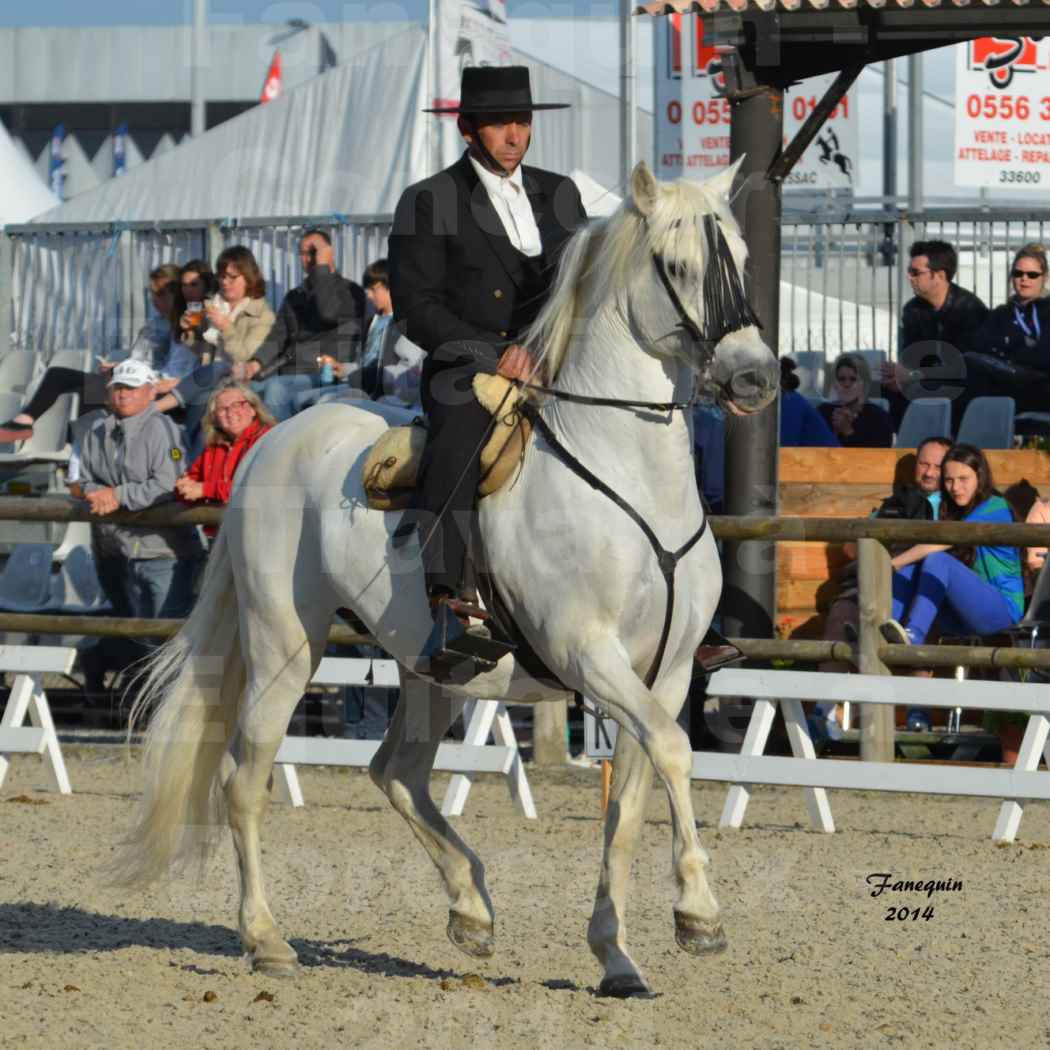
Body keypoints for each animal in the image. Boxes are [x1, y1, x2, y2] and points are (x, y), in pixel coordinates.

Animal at [119, 159, 781, 995]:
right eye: (678, 264)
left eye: (745, 258)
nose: (755, 378)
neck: (628, 473)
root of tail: (272, 441)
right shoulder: (587, 654)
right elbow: (672, 753)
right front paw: (699, 914)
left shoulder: (662, 671)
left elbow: (631, 800)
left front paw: (618, 955)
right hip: (283, 647)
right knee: (246, 777)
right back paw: (267, 939)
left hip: (431, 668)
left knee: (396, 771)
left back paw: (471, 909)